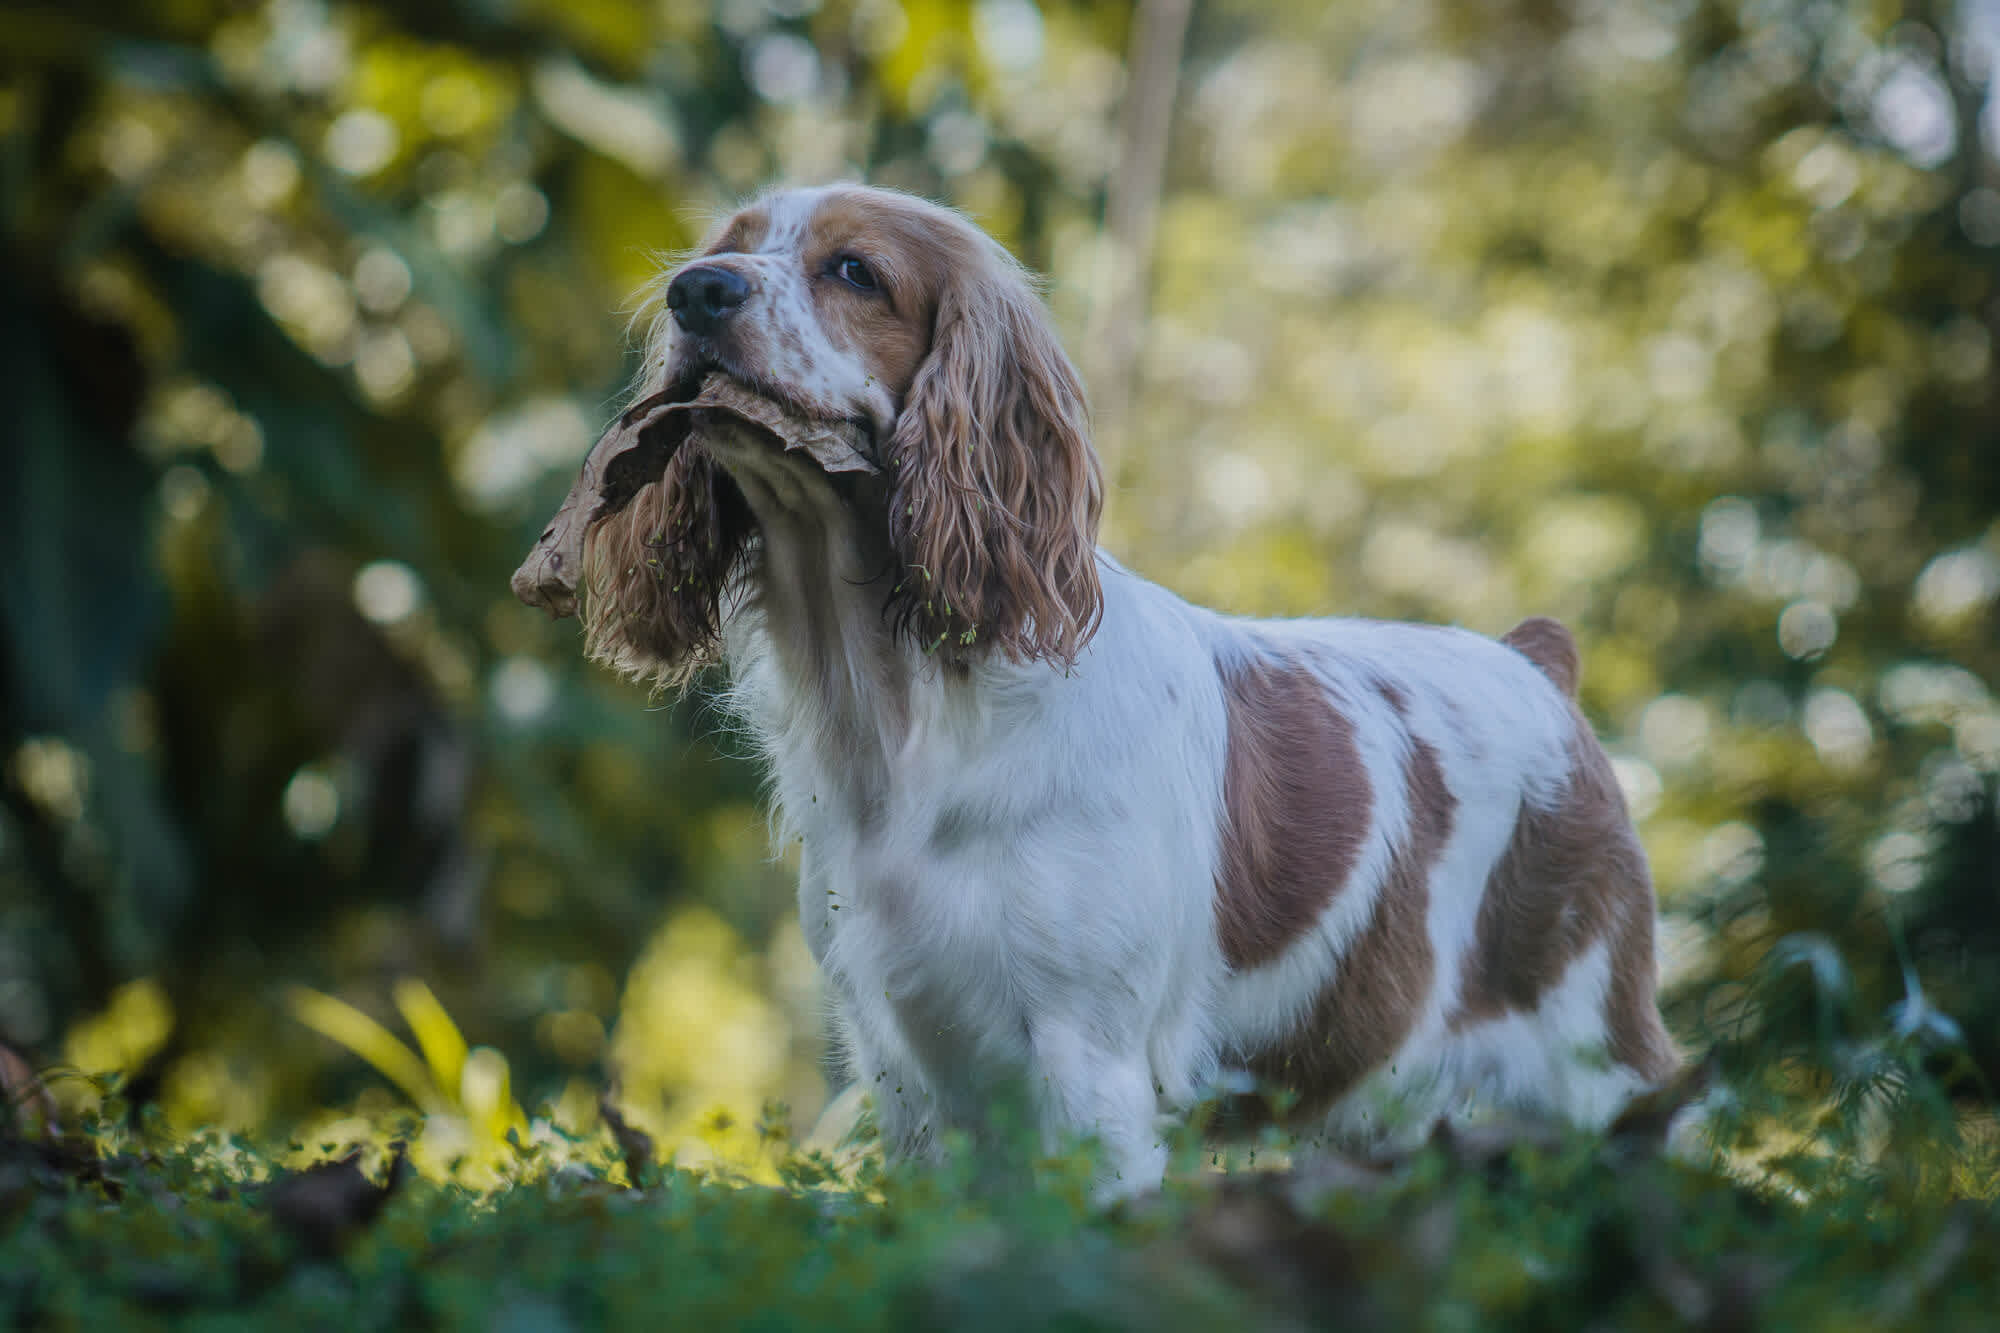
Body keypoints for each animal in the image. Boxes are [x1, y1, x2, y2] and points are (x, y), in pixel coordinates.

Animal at [512, 182, 1672, 1184]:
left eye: (854, 271)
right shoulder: (908, 1069)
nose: (698, 289)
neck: (909, 709)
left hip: (1599, 1061)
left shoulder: (1088, 1060)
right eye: (732, 242)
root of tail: (1536, 664)